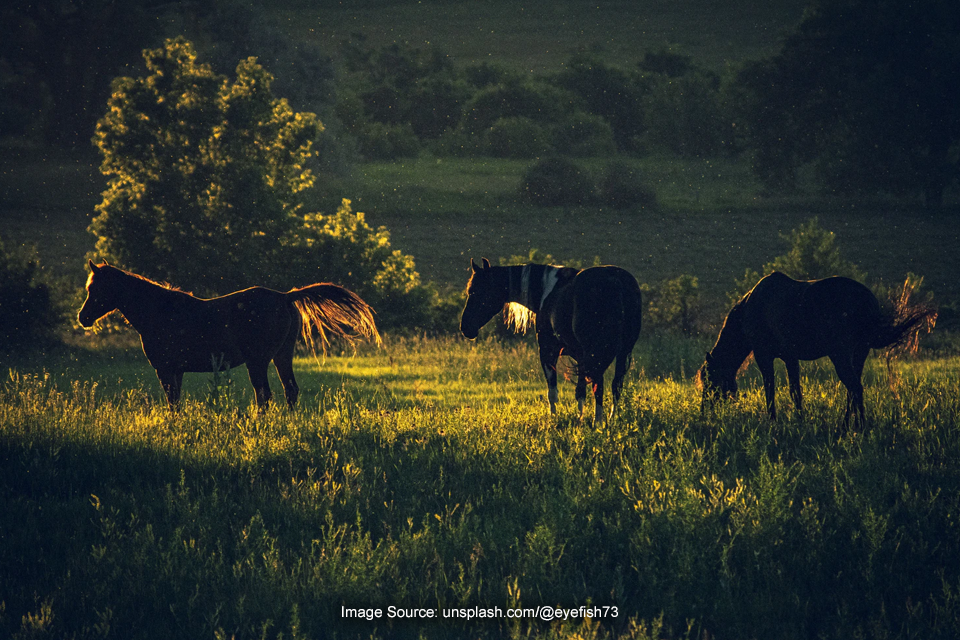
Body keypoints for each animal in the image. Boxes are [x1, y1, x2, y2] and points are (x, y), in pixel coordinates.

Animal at [78, 260, 378, 410]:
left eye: (96, 288)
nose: (83, 318)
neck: (161, 311)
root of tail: (284, 296)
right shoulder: (176, 371)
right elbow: (176, 403)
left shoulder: (165, 369)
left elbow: (173, 403)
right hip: (282, 356)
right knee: (290, 391)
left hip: (259, 361)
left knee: (265, 395)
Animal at [460, 258, 640, 422]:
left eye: (476, 291)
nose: (465, 327)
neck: (547, 292)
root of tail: (616, 281)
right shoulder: (581, 357)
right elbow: (581, 392)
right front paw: (580, 419)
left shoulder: (548, 352)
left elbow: (552, 392)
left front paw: (554, 420)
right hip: (622, 352)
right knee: (615, 386)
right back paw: (611, 419)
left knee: (599, 384)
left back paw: (598, 422)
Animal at [696, 270, 936, 430]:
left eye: (709, 380)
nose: (704, 412)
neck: (751, 308)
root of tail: (868, 301)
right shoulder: (790, 357)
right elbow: (795, 391)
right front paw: (799, 420)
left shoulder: (765, 356)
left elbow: (770, 390)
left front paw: (773, 421)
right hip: (859, 353)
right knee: (853, 389)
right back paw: (848, 425)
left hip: (840, 355)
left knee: (855, 387)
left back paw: (859, 427)